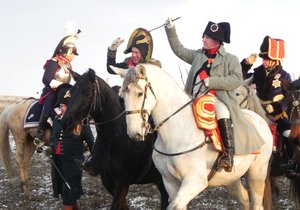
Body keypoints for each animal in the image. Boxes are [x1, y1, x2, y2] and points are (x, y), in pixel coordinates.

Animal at [111, 64, 274, 210]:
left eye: (139, 93)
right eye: (122, 97)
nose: (134, 132)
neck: (176, 133)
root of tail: (259, 119)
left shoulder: (195, 182)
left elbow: (174, 206)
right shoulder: (170, 182)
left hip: (256, 174)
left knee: (256, 204)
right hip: (231, 179)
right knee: (244, 200)